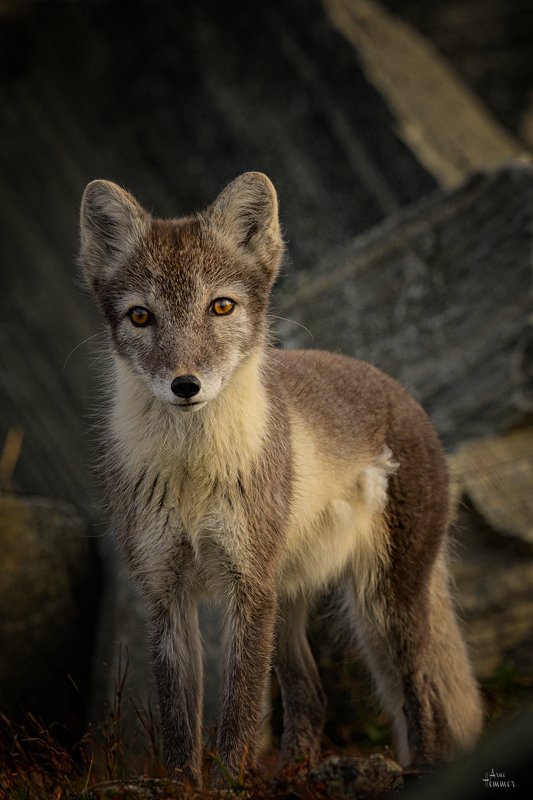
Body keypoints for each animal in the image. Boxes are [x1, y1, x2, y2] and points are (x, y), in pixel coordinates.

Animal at [80, 171, 483, 785]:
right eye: (141, 316)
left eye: (221, 306)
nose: (185, 385)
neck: (194, 472)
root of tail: (399, 389)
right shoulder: (166, 591)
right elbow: (179, 718)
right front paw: (184, 784)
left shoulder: (247, 587)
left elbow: (241, 710)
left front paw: (229, 783)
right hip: (289, 601)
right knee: (311, 696)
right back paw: (296, 771)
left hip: (383, 603)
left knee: (426, 695)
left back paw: (423, 768)